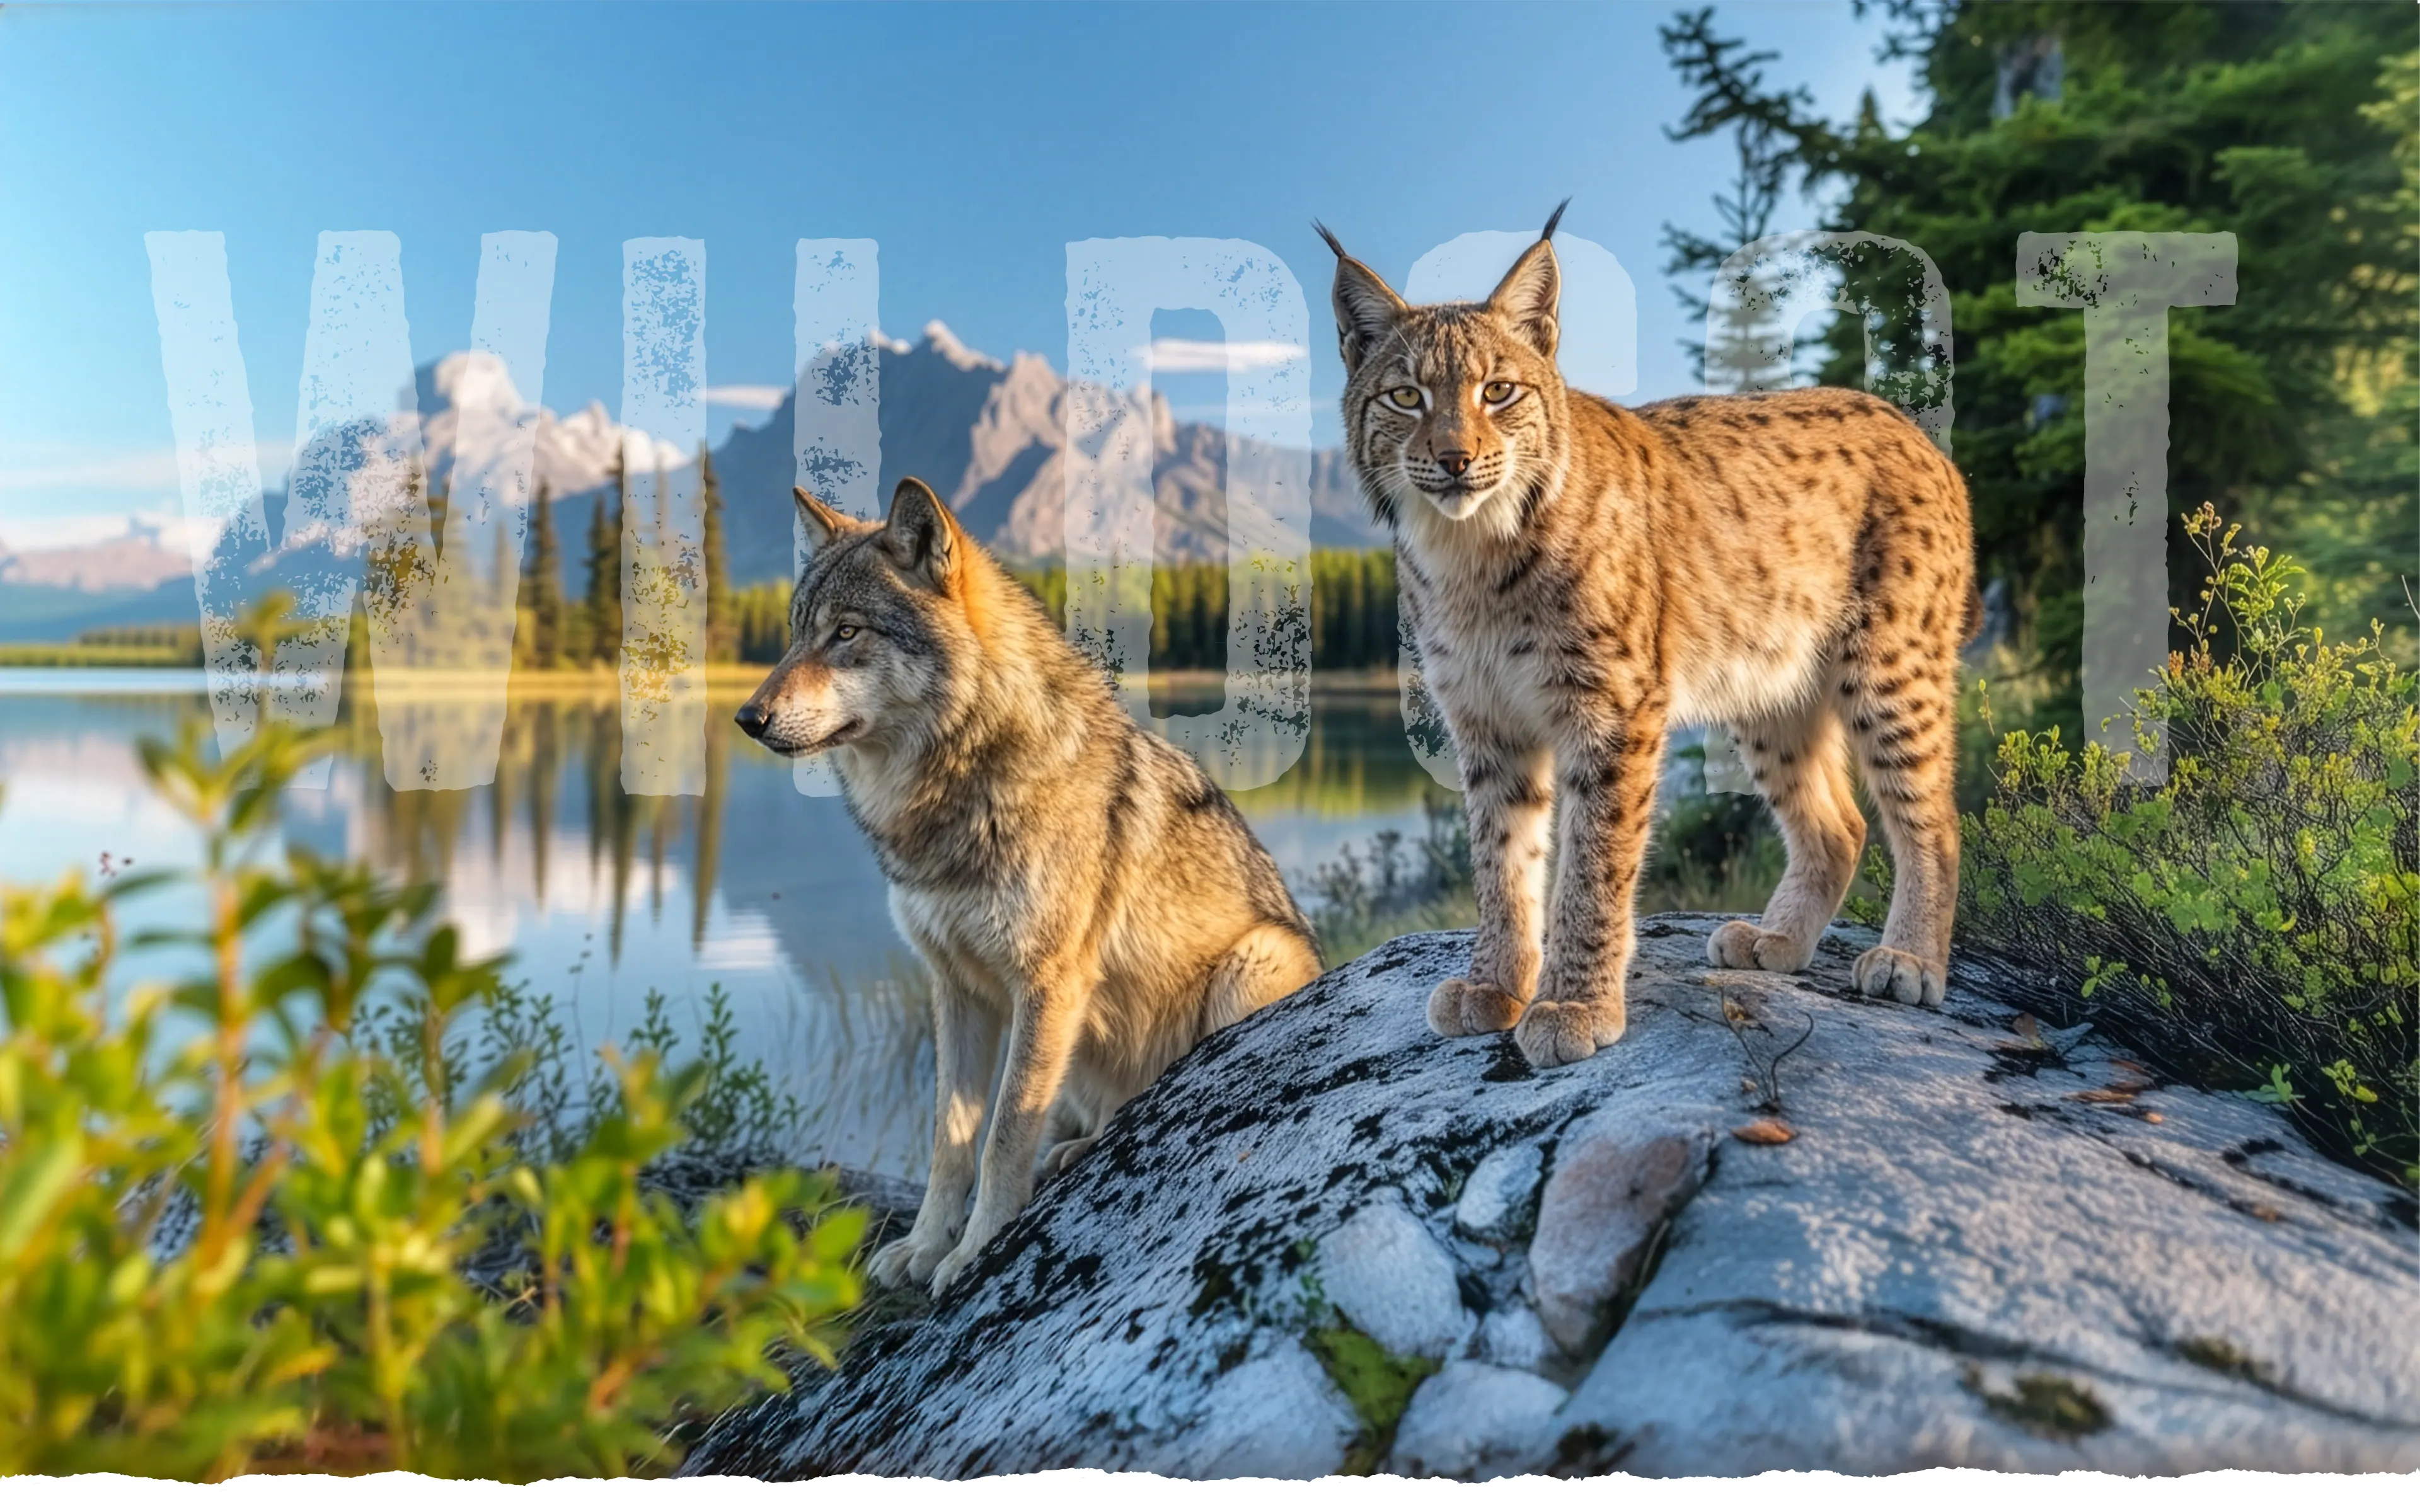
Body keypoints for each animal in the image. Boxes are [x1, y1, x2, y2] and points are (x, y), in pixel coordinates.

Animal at [735, 478, 1323, 1294]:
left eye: (846, 632)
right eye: (795, 634)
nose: (746, 717)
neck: (954, 790)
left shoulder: (1044, 984)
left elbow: (1005, 1133)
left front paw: (977, 1250)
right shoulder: (956, 990)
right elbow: (950, 1140)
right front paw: (924, 1247)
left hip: (1248, 967)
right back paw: (1080, 1148)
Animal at [1320, 206, 1979, 1069]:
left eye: (1498, 392)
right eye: (1405, 396)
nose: (1456, 460)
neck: (1470, 551)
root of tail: (1906, 422)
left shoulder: (1613, 708)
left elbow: (1593, 866)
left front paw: (1574, 1004)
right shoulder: (1485, 718)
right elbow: (1501, 860)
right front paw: (1496, 986)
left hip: (1891, 665)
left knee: (1936, 815)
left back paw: (1910, 960)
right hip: (1765, 684)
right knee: (1843, 824)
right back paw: (1777, 942)